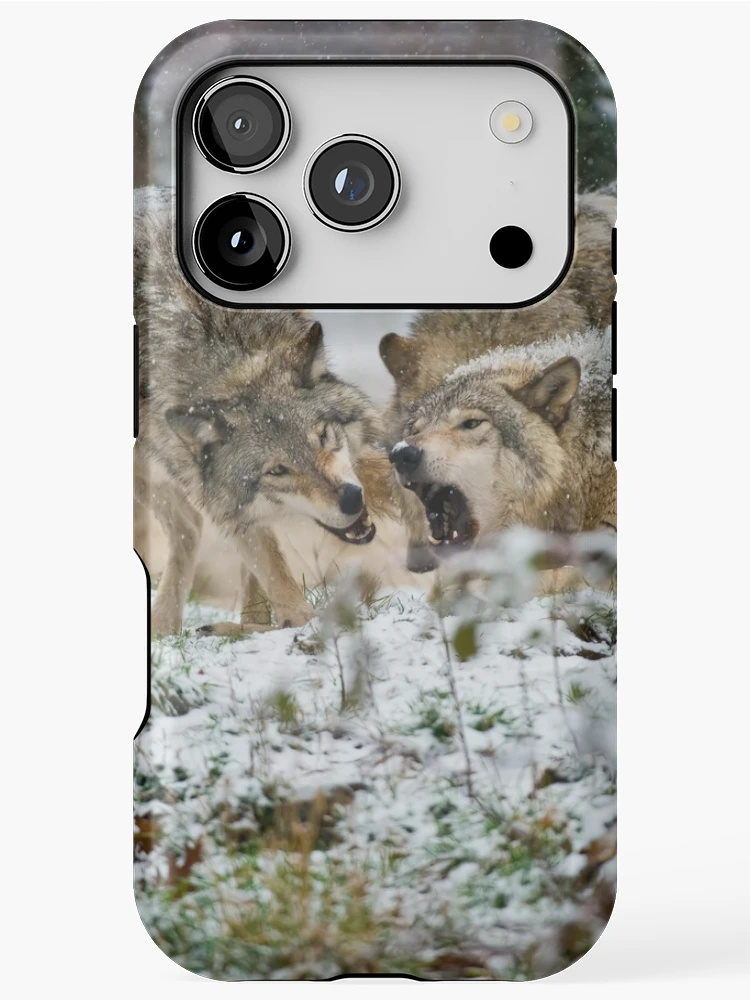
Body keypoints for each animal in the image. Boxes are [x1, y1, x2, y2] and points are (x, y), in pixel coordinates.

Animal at [134, 187, 393, 636]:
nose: (349, 499)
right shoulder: (211, 483)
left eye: (323, 437)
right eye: (277, 471)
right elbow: (270, 563)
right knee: (189, 526)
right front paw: (296, 622)